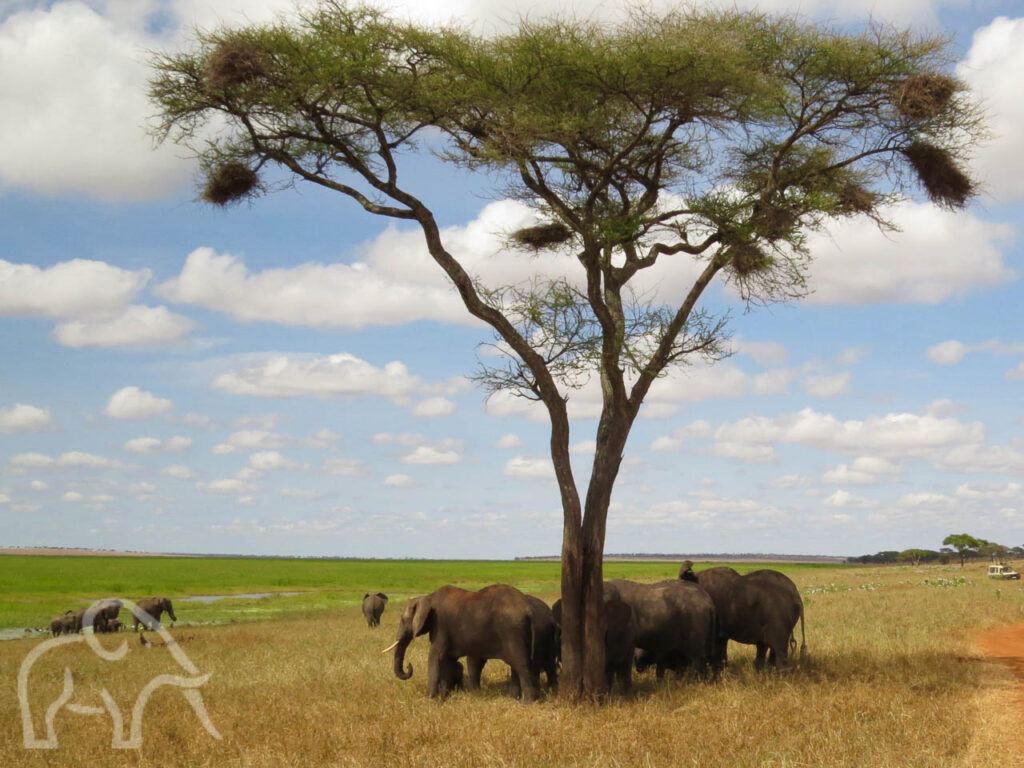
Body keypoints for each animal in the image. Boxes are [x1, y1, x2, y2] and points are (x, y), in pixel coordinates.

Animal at [385, 581, 544, 704]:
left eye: (403, 619)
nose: (408, 665)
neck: (427, 597)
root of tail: (528, 609)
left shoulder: (441, 626)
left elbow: (435, 657)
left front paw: (430, 701)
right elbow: (447, 660)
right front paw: (445, 697)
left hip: (512, 631)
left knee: (521, 663)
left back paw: (527, 702)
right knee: (517, 665)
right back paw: (516, 699)